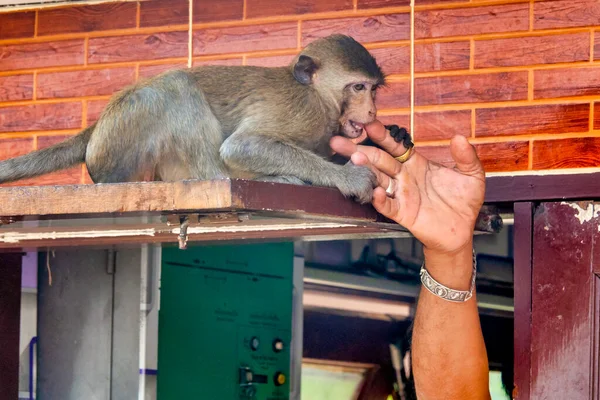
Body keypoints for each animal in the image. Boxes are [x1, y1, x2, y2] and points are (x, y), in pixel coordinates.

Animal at [0, 34, 390, 203]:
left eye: (374, 90)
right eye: (358, 87)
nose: (372, 111)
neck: (321, 98)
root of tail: (98, 124)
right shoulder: (305, 114)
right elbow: (242, 147)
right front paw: (347, 177)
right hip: (120, 138)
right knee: (177, 85)